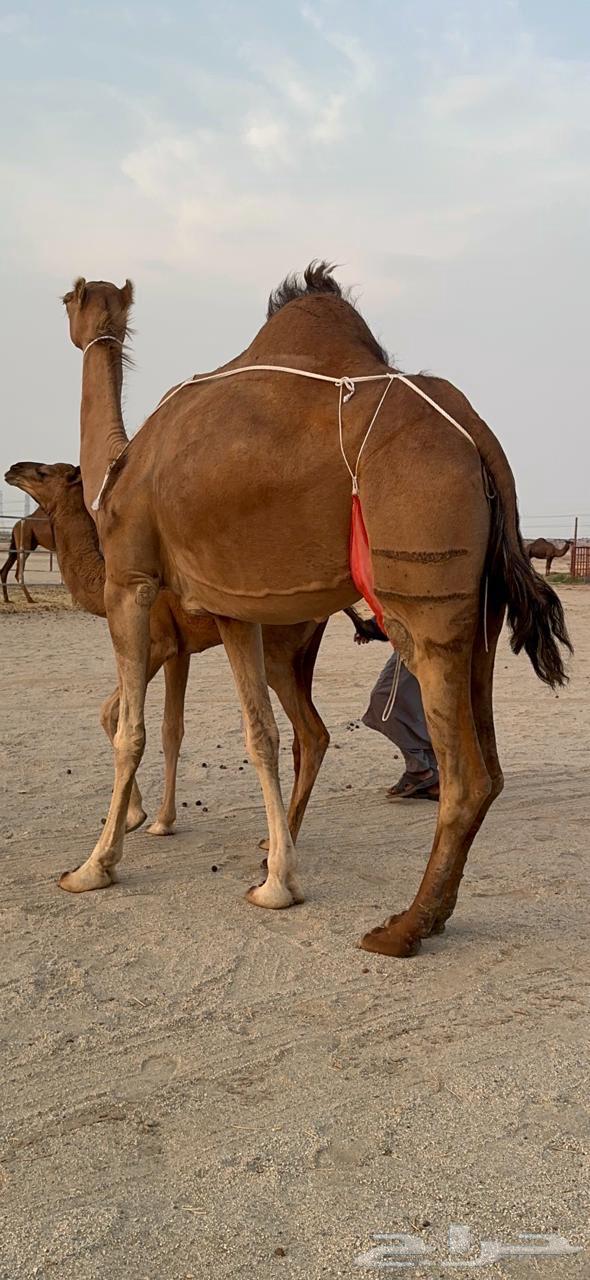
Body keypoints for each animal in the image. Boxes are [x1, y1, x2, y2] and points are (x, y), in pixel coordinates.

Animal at [5, 460, 330, 844]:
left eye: (43, 473)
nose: (13, 469)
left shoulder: (159, 643)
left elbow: (115, 714)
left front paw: (140, 817)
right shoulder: (181, 651)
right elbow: (170, 727)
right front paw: (155, 818)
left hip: (276, 655)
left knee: (312, 734)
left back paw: (281, 841)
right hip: (301, 656)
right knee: (304, 736)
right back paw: (282, 835)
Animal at [60, 265, 571, 958]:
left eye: (69, 299)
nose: (68, 313)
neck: (114, 470)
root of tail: (480, 438)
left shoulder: (130, 580)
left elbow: (128, 730)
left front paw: (94, 865)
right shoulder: (232, 603)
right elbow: (261, 734)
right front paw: (276, 879)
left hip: (423, 581)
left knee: (464, 774)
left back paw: (402, 928)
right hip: (482, 605)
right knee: (487, 763)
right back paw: (431, 915)